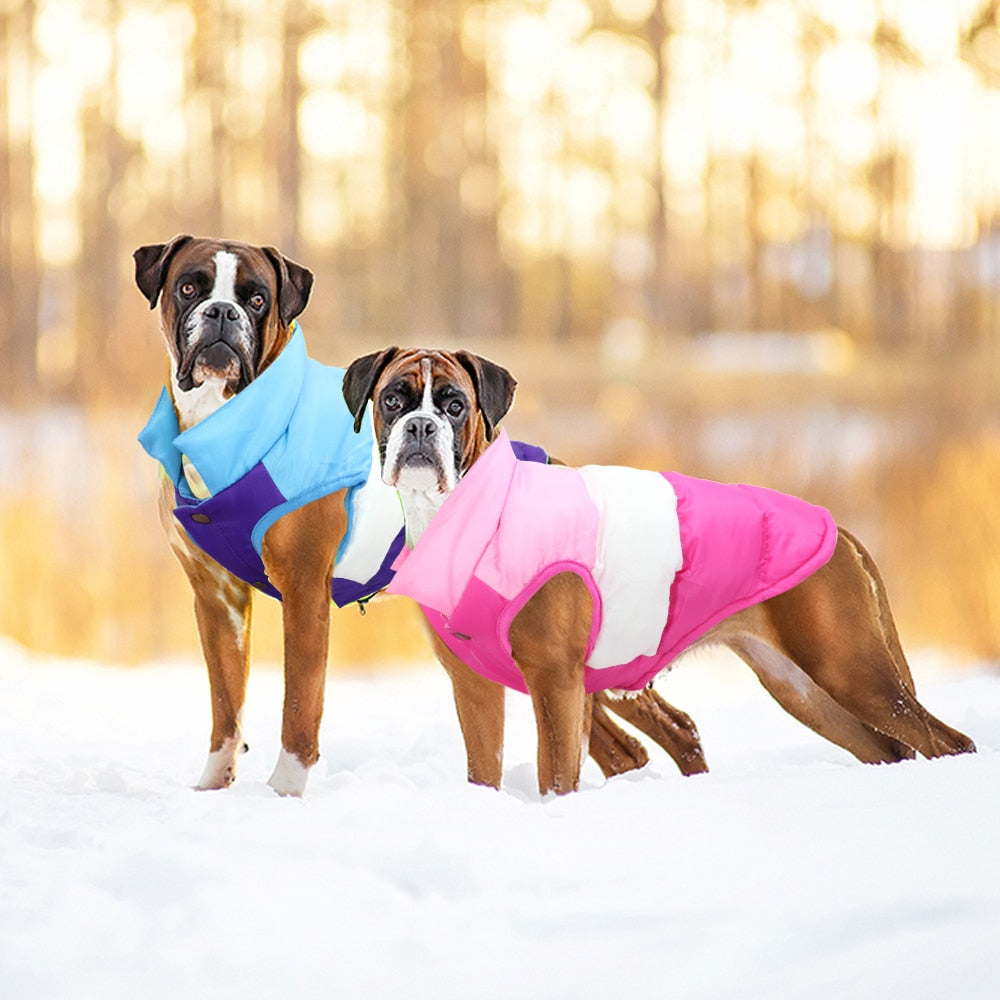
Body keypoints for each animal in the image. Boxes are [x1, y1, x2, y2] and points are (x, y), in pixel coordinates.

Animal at [133, 236, 700, 796]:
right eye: (189, 288)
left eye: (255, 299)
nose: (221, 312)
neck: (229, 424)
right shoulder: (217, 599)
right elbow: (225, 705)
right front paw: (213, 789)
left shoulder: (303, 591)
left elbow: (298, 704)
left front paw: (283, 793)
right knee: (625, 747)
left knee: (676, 727)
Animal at [340, 346, 972, 796]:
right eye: (393, 400)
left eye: (454, 405)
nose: (421, 427)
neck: (471, 514)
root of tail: (838, 528)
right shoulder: (474, 688)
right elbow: (484, 772)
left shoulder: (556, 681)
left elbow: (557, 777)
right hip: (802, 687)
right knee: (888, 748)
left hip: (848, 668)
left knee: (948, 740)